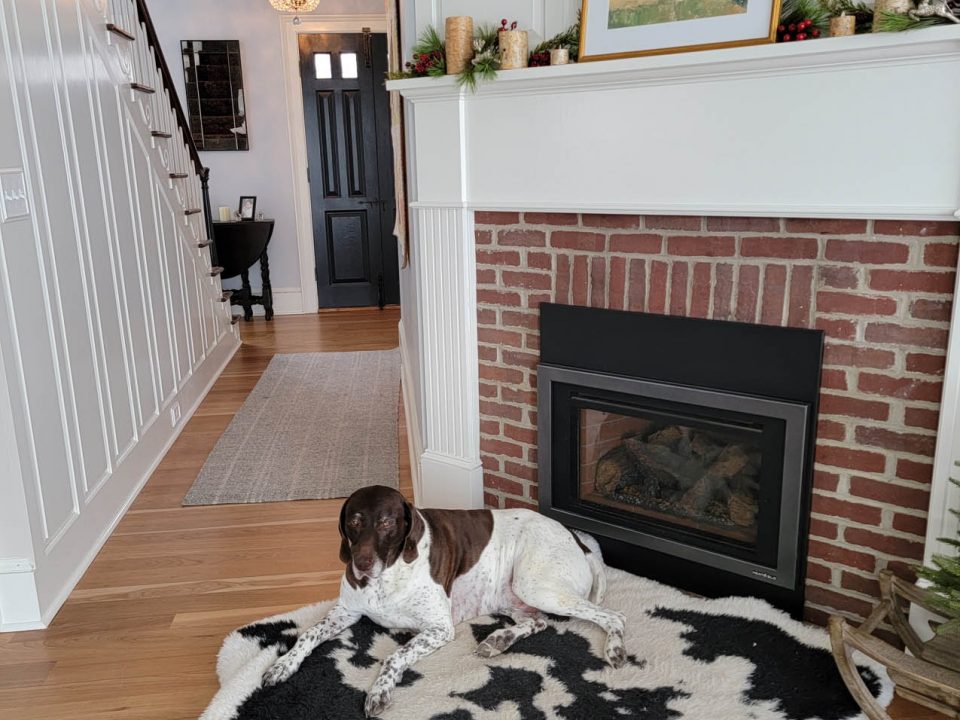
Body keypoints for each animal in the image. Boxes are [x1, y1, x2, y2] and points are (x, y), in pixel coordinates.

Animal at [258, 486, 628, 716]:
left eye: (387, 522)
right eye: (354, 521)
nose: (360, 565)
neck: (387, 574)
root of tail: (578, 540)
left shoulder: (438, 629)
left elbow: (393, 657)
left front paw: (379, 690)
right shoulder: (346, 611)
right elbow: (307, 634)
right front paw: (282, 665)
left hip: (535, 585)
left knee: (614, 617)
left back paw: (614, 649)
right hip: (514, 596)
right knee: (537, 621)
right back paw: (498, 639)